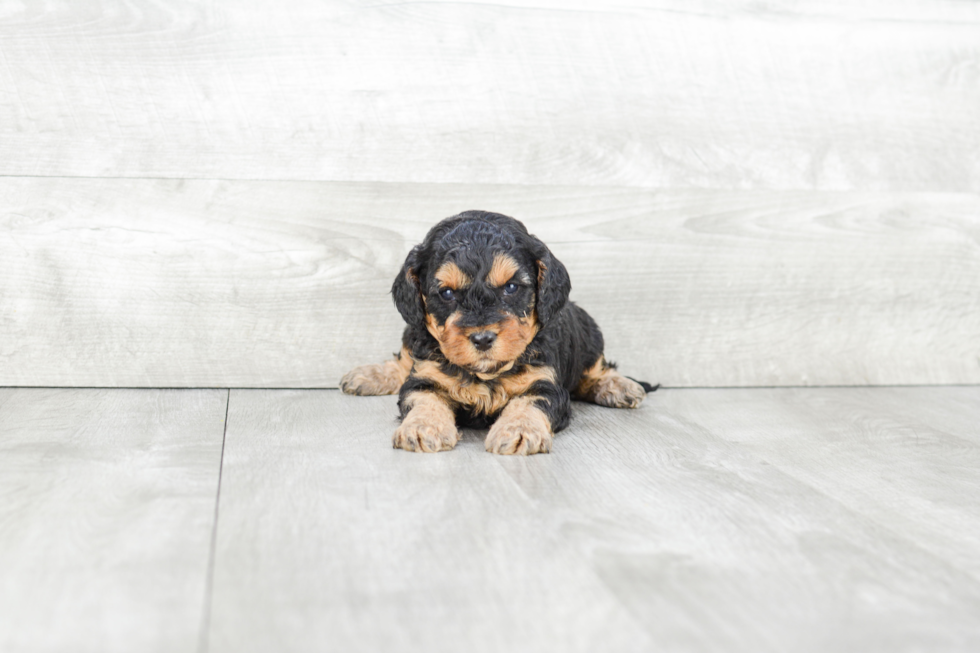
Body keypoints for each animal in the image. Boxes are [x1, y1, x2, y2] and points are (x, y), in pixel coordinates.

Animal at [340, 209, 656, 454]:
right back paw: (367, 375)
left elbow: (530, 403)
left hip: (591, 337)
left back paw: (620, 386)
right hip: (413, 332)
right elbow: (423, 397)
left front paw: (518, 431)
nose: (482, 338)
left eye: (512, 287)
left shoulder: (546, 383)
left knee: (597, 369)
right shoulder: (424, 377)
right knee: (404, 359)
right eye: (446, 293)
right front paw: (422, 427)